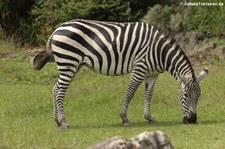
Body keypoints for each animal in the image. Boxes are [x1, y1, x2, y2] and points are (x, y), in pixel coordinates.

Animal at [32, 19, 208, 129]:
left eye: (199, 96)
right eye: (185, 96)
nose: (192, 120)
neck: (160, 51)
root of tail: (56, 30)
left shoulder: (152, 74)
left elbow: (148, 95)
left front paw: (149, 118)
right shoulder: (140, 67)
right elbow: (130, 93)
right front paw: (124, 119)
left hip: (70, 64)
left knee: (55, 89)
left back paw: (56, 121)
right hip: (69, 61)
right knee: (60, 91)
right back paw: (63, 122)